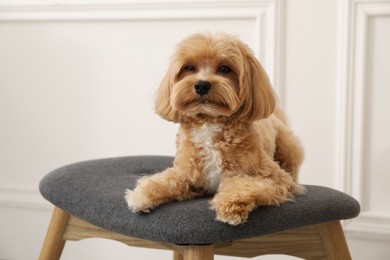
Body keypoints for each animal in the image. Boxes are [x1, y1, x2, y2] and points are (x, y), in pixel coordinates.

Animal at [125, 32, 304, 224]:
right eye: (189, 68)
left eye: (225, 69)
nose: (202, 85)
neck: (210, 122)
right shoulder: (188, 174)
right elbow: (167, 180)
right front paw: (141, 194)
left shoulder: (276, 178)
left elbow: (244, 184)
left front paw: (230, 205)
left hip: (288, 148)